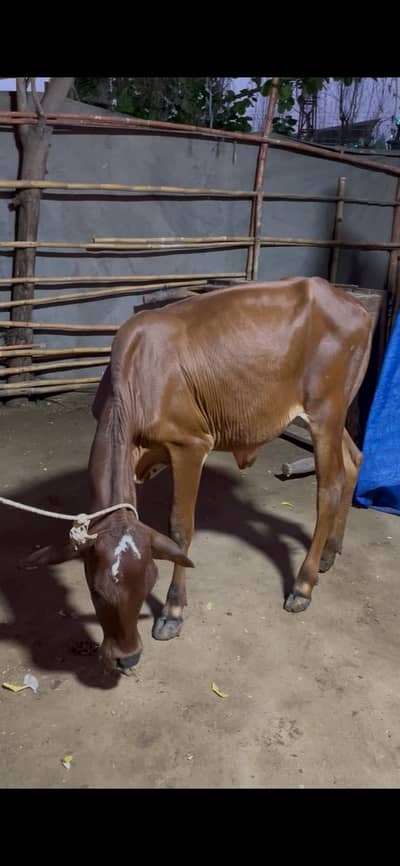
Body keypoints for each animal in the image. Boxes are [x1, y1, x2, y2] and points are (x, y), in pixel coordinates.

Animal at [27, 277, 372, 674]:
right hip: (332, 414)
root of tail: (350, 302)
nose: (128, 656)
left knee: (329, 488)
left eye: (149, 583)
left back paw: (303, 584)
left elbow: (180, 529)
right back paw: (331, 551)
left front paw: (173, 611)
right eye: (96, 591)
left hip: (325, 412)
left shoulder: (189, 445)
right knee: (354, 462)